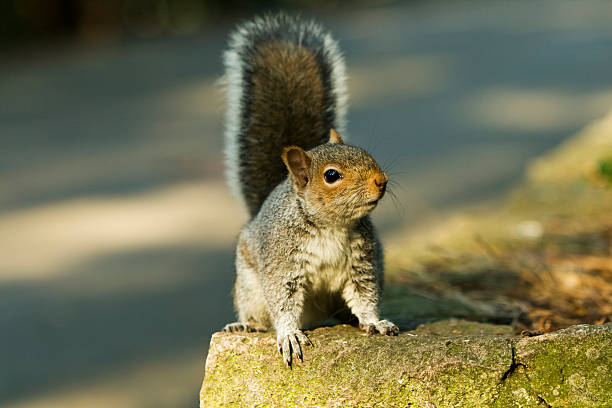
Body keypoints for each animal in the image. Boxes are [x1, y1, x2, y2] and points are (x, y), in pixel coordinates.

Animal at [222, 12, 400, 366]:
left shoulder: (362, 261)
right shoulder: (282, 260)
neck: (331, 225)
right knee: (257, 314)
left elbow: (365, 294)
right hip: (249, 286)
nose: (382, 181)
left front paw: (374, 321)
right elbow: (283, 300)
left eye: (364, 153)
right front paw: (290, 334)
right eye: (331, 175)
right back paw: (244, 325)